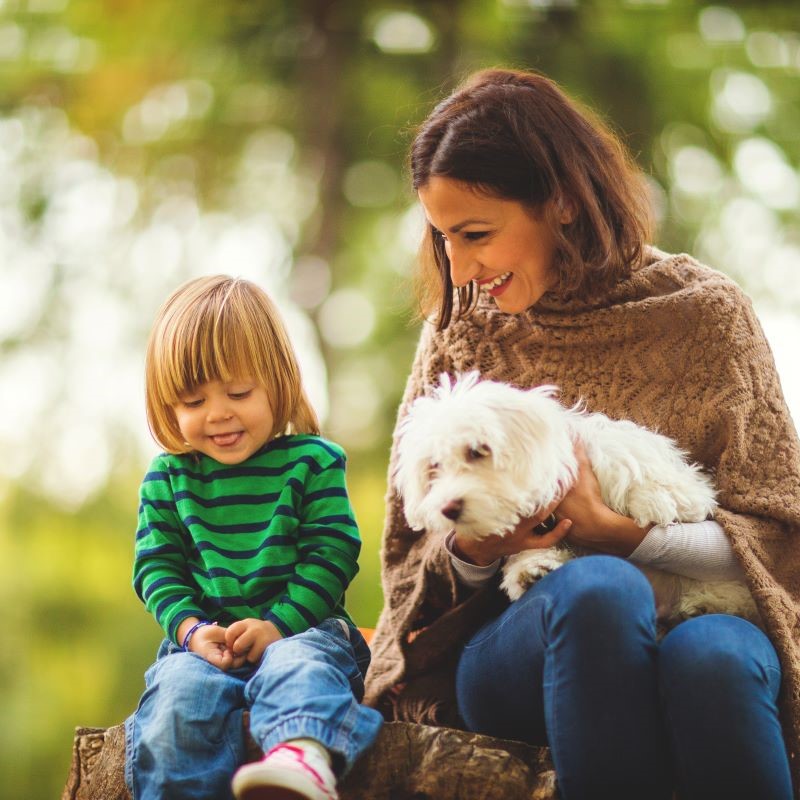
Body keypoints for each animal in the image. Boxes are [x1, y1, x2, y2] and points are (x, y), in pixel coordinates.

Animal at [396, 372, 760, 628]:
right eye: (434, 467)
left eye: (476, 451)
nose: (448, 508)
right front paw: (531, 571)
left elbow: (633, 463)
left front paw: (658, 497)